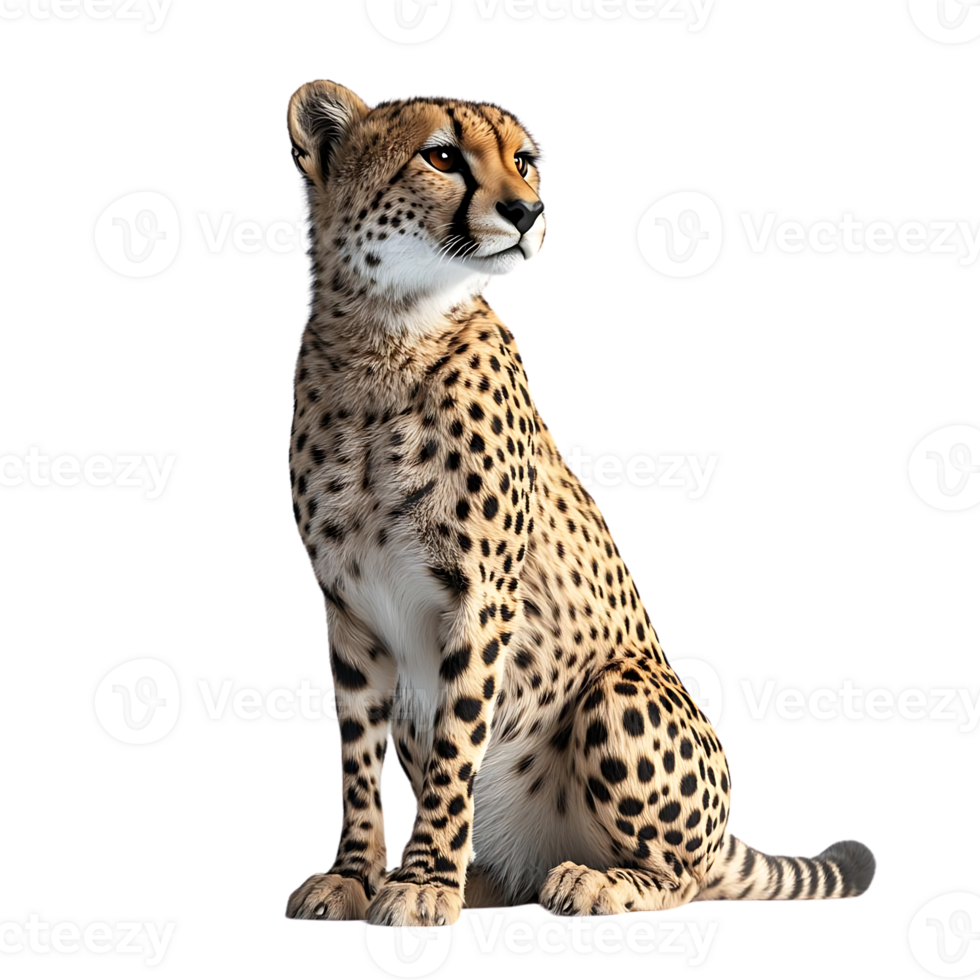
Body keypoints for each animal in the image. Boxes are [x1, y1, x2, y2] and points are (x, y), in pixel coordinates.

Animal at [281, 78, 878, 928]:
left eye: (524, 160)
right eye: (441, 156)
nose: (528, 210)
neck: (387, 336)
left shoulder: (482, 596)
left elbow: (456, 746)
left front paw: (422, 882)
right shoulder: (348, 607)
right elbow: (357, 759)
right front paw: (356, 874)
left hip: (622, 686)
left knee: (684, 876)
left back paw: (595, 882)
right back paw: (485, 879)